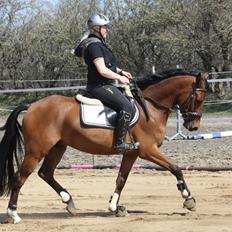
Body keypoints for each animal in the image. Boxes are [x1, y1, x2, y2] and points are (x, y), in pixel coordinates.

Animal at [0, 69, 208, 223]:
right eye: (198, 99)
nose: (193, 126)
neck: (151, 107)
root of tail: (32, 106)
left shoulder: (132, 154)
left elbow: (121, 179)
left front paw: (116, 207)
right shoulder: (148, 151)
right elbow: (175, 168)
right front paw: (189, 200)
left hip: (58, 147)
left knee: (45, 173)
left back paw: (69, 202)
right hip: (36, 151)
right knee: (20, 178)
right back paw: (13, 214)